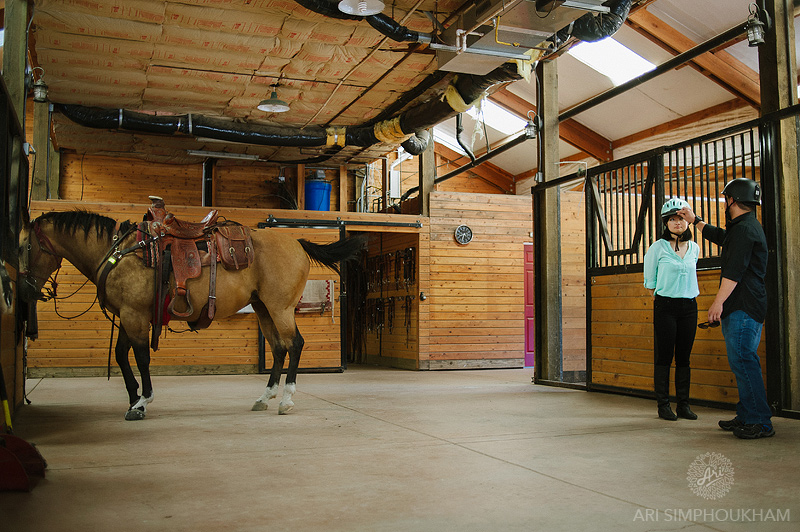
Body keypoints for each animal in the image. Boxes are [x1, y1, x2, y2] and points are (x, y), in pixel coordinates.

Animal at [18, 206, 364, 422]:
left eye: (24, 247)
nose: (25, 288)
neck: (120, 254)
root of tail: (299, 243)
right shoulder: (129, 318)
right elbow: (120, 355)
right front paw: (133, 398)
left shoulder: (134, 316)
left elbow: (141, 357)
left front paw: (142, 401)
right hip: (263, 308)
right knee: (279, 349)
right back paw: (264, 398)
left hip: (280, 308)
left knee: (295, 345)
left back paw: (287, 399)